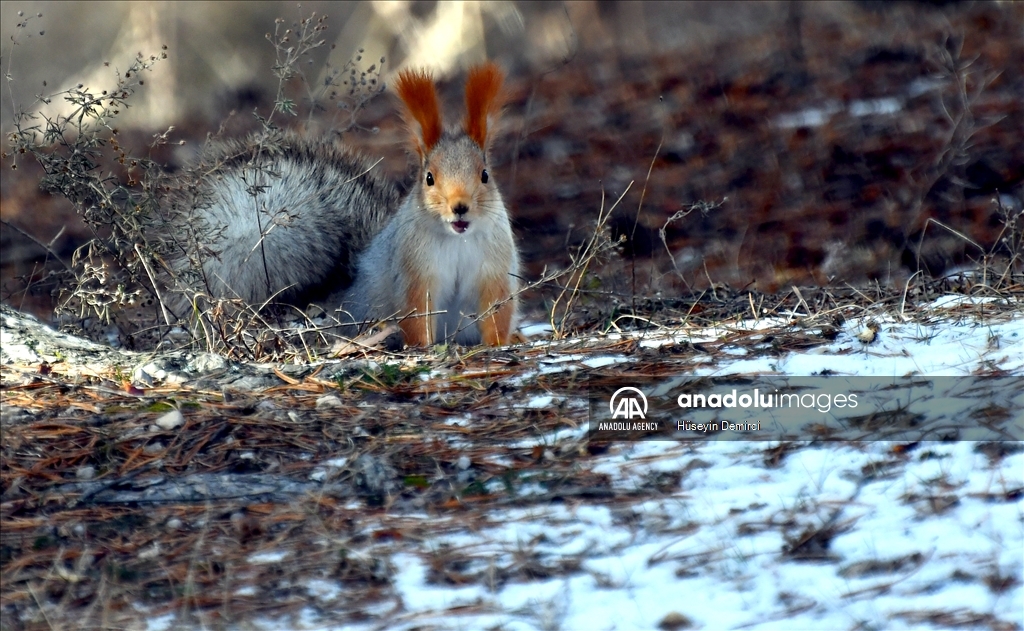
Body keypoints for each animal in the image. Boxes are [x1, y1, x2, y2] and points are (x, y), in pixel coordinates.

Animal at [172, 63, 520, 348]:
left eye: (485, 175)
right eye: (429, 178)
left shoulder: (495, 271)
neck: (458, 240)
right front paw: (423, 346)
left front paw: (500, 342)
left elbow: (497, 311)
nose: (459, 207)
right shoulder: (414, 272)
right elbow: (416, 315)